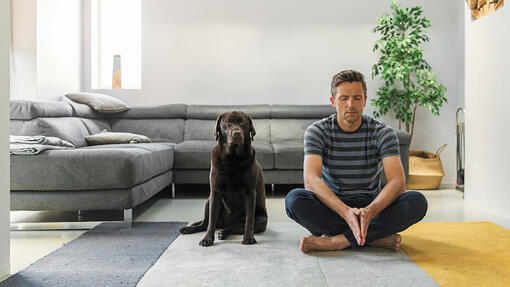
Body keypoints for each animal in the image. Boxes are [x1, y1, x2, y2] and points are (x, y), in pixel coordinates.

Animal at [178, 111, 266, 248]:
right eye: (228, 123)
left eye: (242, 123)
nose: (236, 133)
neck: (233, 159)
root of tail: (224, 224)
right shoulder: (215, 192)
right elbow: (211, 222)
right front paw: (207, 239)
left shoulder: (250, 193)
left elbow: (249, 220)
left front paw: (249, 238)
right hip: (208, 202)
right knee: (205, 224)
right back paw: (189, 229)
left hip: (261, 220)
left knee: (235, 227)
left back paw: (223, 233)